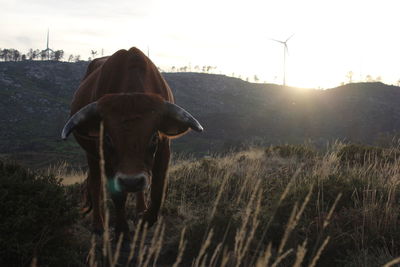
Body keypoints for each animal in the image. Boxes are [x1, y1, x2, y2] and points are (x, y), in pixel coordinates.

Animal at [61, 47, 203, 239]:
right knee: (96, 184)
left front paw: (144, 220)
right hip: (92, 155)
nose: (131, 181)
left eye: (153, 138)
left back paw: (139, 211)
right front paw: (122, 230)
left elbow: (158, 191)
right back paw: (98, 224)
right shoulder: (107, 159)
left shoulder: (164, 151)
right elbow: (117, 196)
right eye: (108, 139)